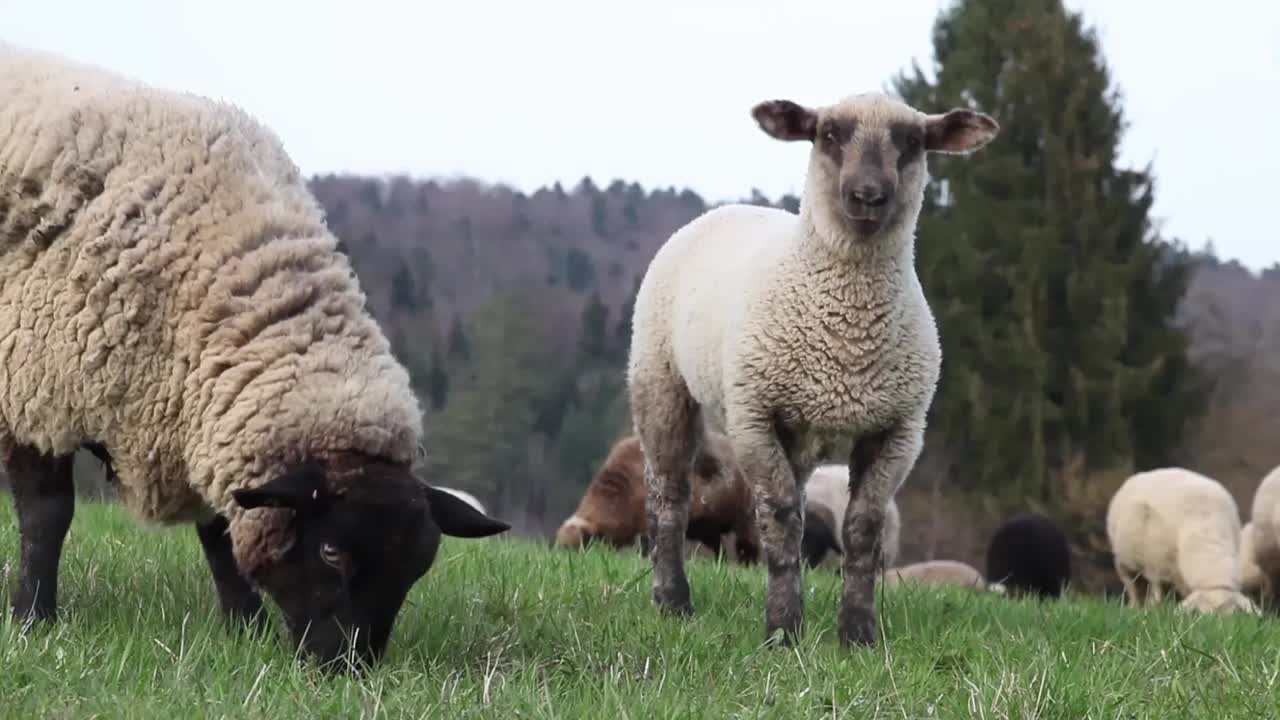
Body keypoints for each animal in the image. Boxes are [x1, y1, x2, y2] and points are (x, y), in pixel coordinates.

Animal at [0, 41, 509, 666]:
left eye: (413, 572)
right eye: (331, 552)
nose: (346, 667)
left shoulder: (195, 418)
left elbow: (220, 533)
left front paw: (245, 626)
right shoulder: (33, 389)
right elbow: (47, 516)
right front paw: (34, 618)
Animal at [558, 427, 757, 563]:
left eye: (580, 546)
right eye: (561, 548)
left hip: (745, 518)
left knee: (747, 545)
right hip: (709, 528)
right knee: (720, 550)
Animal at [622, 89, 998, 645]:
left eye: (912, 141)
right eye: (829, 134)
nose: (868, 196)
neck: (847, 336)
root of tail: (729, 208)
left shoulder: (899, 432)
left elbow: (862, 529)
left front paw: (858, 634)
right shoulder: (755, 417)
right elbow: (779, 520)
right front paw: (783, 631)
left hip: (795, 435)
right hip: (660, 380)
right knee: (669, 493)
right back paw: (673, 601)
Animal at [1111, 468, 1259, 614]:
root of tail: (1151, 472)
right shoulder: (1160, 567)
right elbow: (1160, 590)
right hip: (1127, 562)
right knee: (1135, 586)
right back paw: (1137, 607)